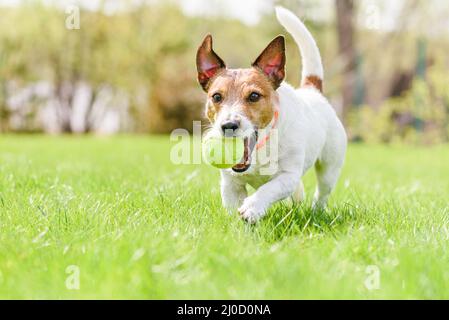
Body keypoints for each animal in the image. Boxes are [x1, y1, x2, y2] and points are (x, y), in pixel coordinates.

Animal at [196, 6, 346, 222]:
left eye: (254, 96)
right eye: (216, 96)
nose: (228, 126)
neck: (259, 148)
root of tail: (312, 91)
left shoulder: (288, 176)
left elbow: (269, 189)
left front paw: (252, 207)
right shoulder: (231, 183)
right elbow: (233, 205)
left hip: (329, 167)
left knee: (322, 193)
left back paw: (316, 211)